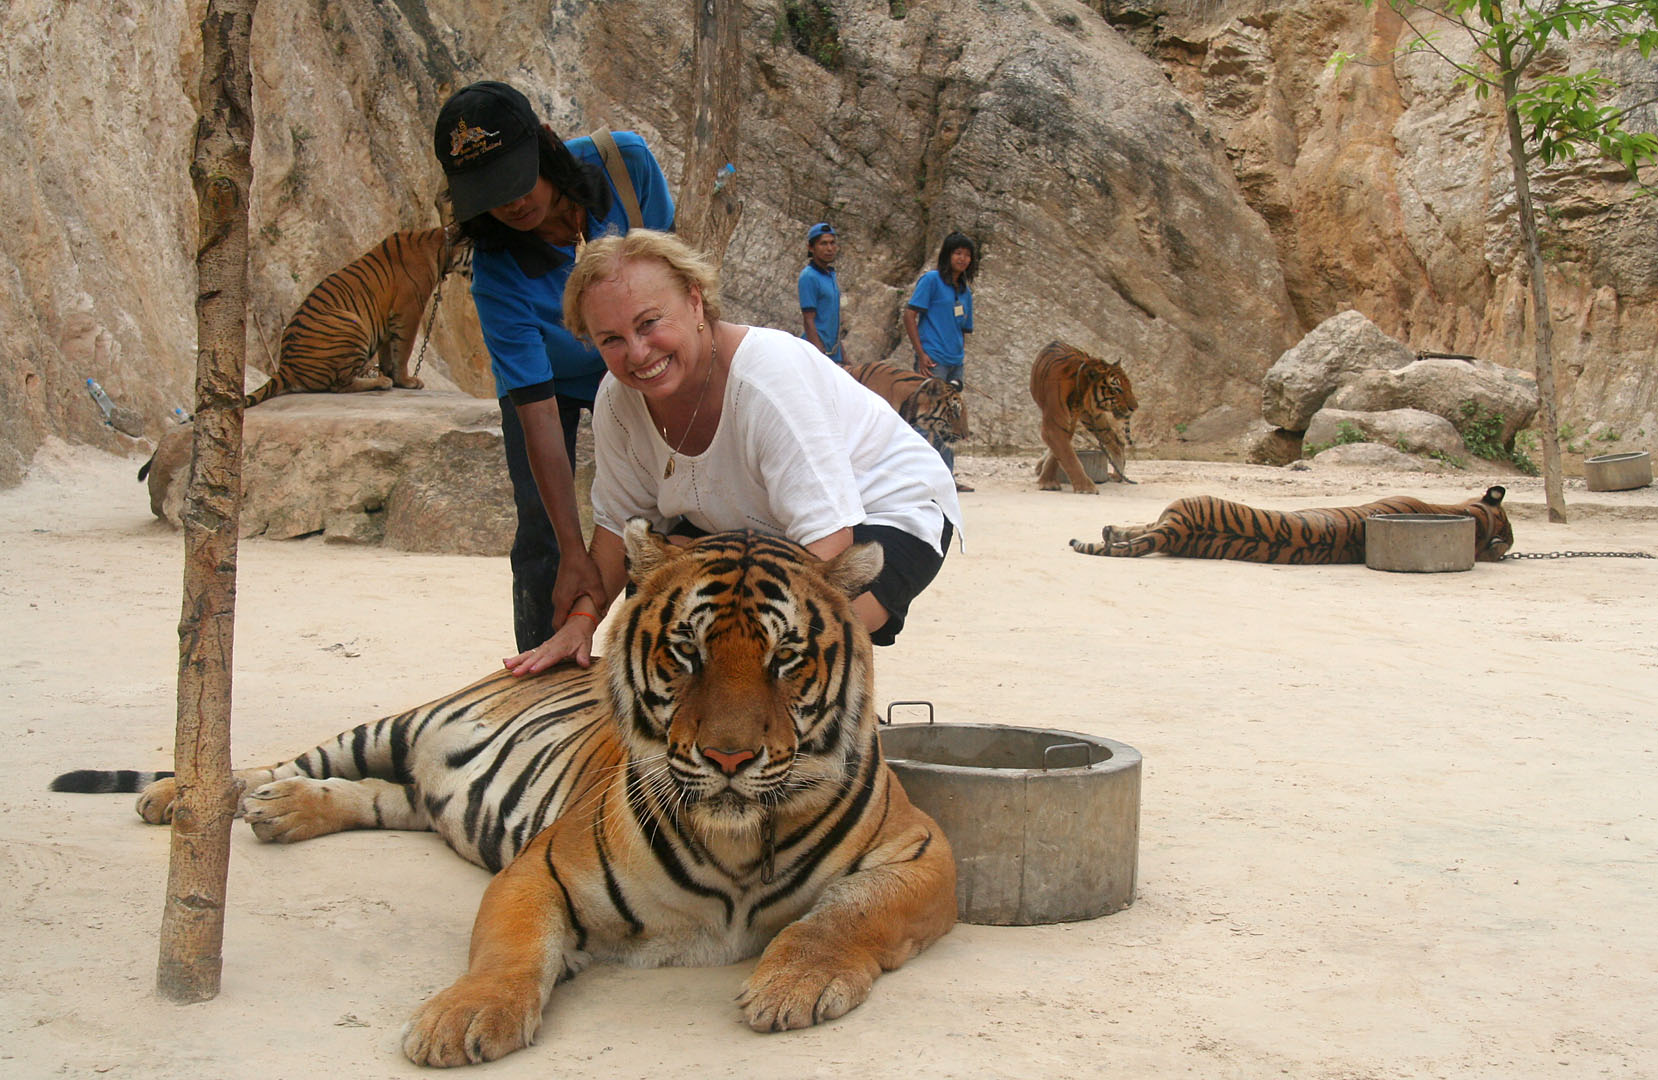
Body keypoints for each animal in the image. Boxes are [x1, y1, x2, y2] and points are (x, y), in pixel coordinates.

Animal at [48, 521, 957, 1067]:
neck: (737, 838)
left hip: (419, 794)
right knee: (271, 760)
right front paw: (459, 1021)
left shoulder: (923, 854)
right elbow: (509, 950)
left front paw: (792, 984)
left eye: (785, 658)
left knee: (377, 800)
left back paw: (283, 811)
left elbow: (846, 913)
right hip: (390, 726)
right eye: (686, 652)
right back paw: (186, 797)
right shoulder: (542, 868)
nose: (730, 757)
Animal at [245, 226, 472, 407]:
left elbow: (388, 353)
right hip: (354, 323)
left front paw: (391, 375)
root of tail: (285, 366)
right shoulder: (409, 312)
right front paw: (405, 381)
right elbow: (403, 351)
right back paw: (381, 382)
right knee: (340, 385)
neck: (443, 248)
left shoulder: (388, 320)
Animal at [1030, 341, 1138, 494]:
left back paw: (1118, 475)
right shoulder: (1055, 426)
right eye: (1117, 389)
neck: (1080, 391)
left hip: (1094, 419)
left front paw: (1048, 481)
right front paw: (1086, 487)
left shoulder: (1067, 424)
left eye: (1129, 386)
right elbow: (1068, 456)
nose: (1135, 407)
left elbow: (1059, 455)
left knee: (1117, 441)